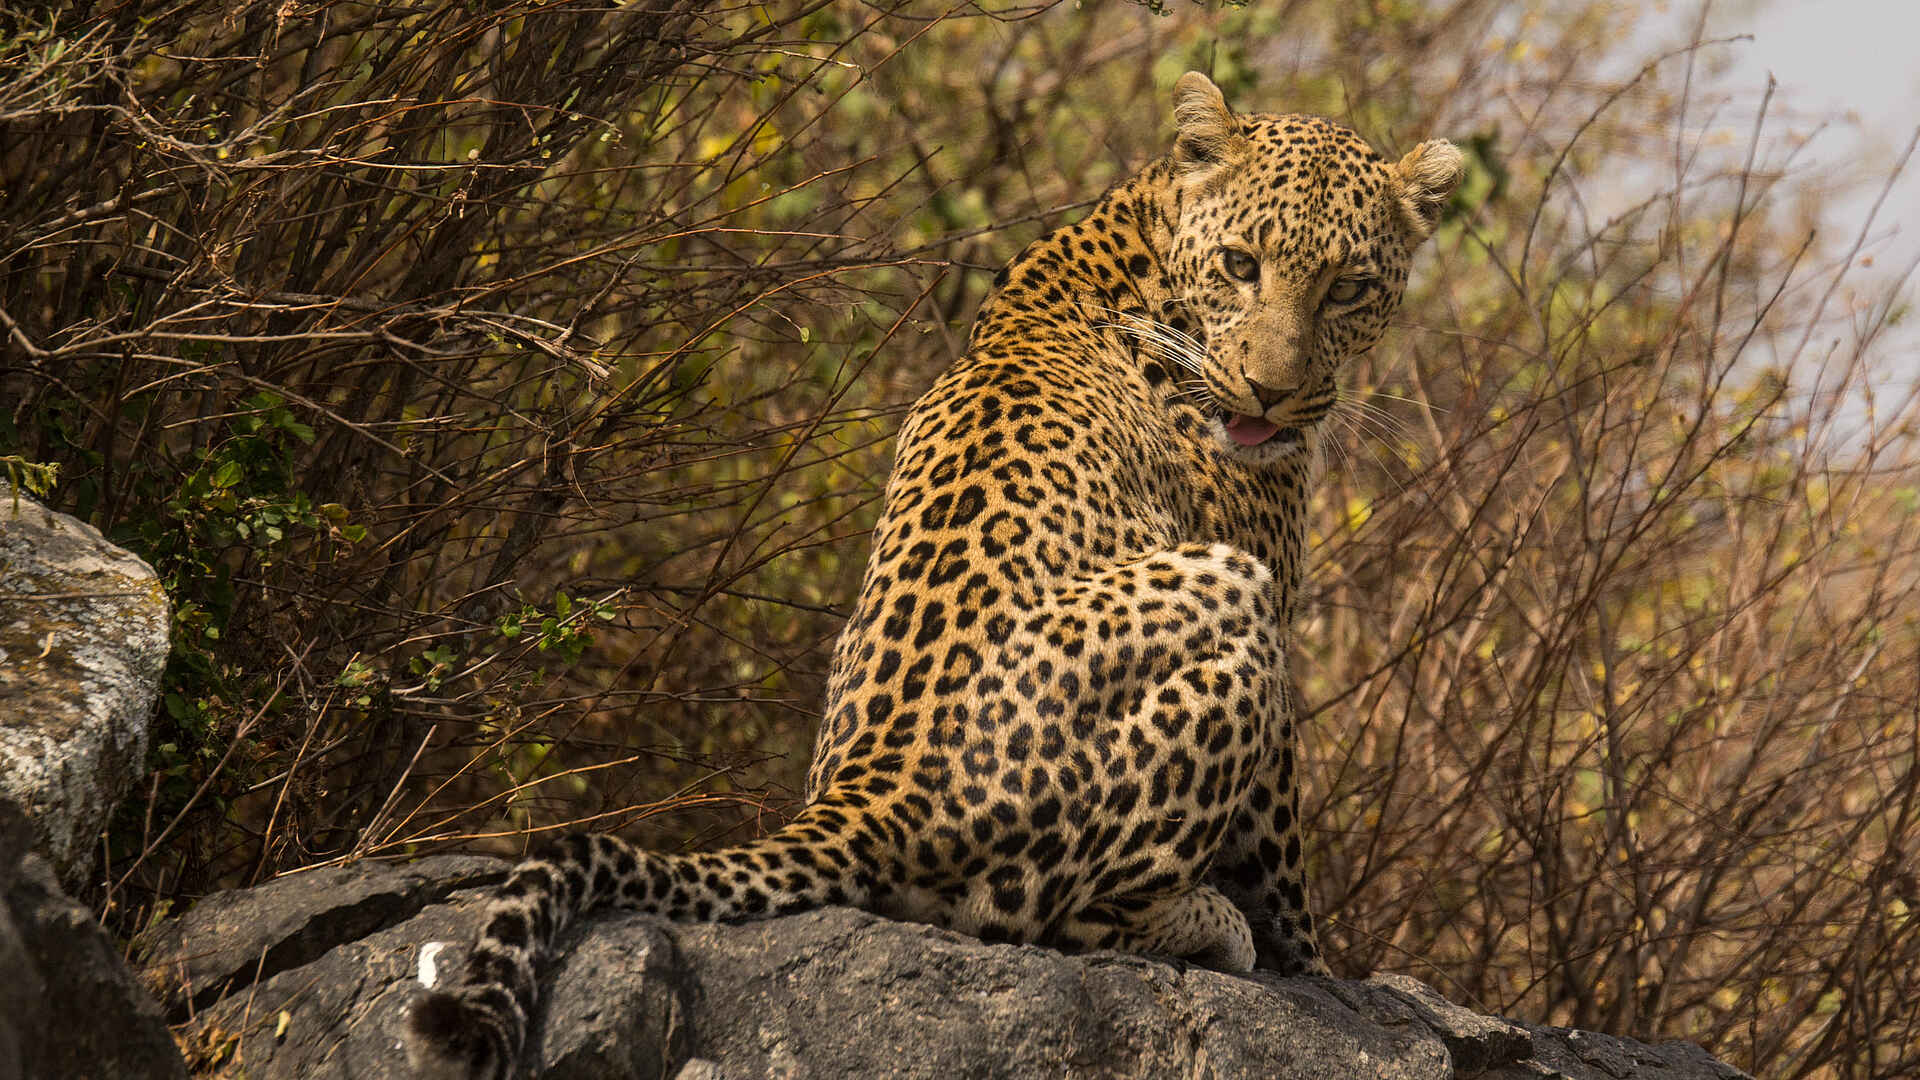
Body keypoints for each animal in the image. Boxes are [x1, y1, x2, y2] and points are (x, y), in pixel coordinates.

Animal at [406, 70, 1463, 1079]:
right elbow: (1284, 863)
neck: (1146, 234)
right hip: (1224, 586)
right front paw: (1317, 971)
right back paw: (1215, 927)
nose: (1269, 395)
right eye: (1243, 265)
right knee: (1074, 917)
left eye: (1348, 288)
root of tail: (872, 794)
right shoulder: (1271, 603)